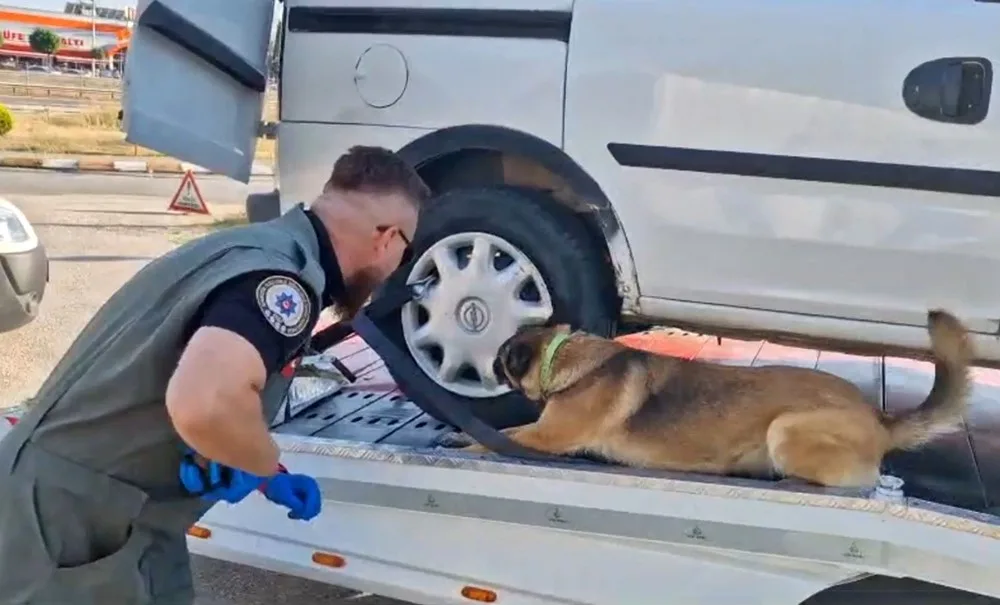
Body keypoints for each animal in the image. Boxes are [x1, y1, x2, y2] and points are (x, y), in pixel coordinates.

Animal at [450, 310, 972, 488]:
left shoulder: (547, 437)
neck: (568, 357)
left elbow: (500, 435)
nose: (484, 367)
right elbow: (502, 431)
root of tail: (879, 417)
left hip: (786, 429)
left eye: (501, 358)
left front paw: (465, 440)